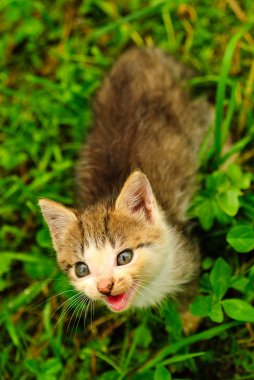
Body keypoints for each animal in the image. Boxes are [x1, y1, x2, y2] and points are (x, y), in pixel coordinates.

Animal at [39, 47, 214, 314]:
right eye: (82, 269)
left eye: (124, 257)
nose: (104, 287)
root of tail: (140, 53)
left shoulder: (188, 254)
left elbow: (190, 301)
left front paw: (188, 318)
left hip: (191, 119)